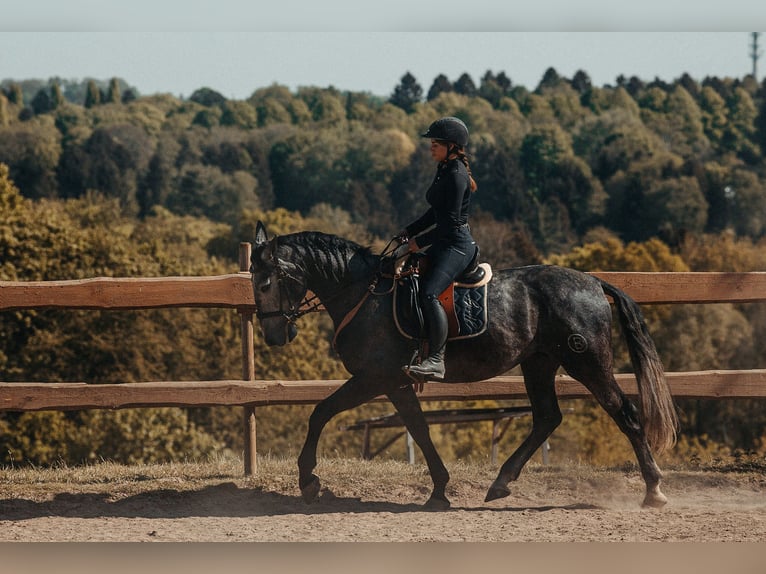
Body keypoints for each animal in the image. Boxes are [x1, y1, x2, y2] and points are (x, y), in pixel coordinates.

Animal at [250, 223, 680, 510]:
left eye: (266, 282)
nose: (274, 335)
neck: (364, 295)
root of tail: (592, 282)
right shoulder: (395, 382)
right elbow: (419, 429)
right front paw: (440, 490)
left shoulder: (375, 377)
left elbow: (321, 412)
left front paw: (308, 479)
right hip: (539, 363)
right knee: (547, 418)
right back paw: (501, 482)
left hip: (587, 361)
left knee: (625, 414)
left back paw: (654, 490)